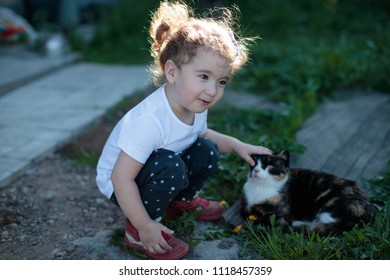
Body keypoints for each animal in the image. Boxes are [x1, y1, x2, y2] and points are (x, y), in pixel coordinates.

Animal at [241, 150, 374, 235]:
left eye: (269, 166)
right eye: (253, 165)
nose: (256, 170)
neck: (260, 188)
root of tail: (367, 211)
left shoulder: (282, 209)